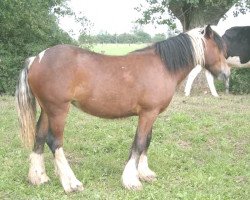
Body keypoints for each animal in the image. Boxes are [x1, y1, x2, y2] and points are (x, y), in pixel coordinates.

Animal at [15, 25, 229, 192]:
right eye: (219, 48)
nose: (226, 74)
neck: (162, 66)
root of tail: (36, 59)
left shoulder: (151, 114)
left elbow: (146, 141)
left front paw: (144, 173)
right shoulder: (148, 113)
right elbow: (140, 143)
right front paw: (131, 180)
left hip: (47, 110)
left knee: (39, 137)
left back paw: (38, 177)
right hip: (58, 110)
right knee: (55, 142)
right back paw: (71, 183)